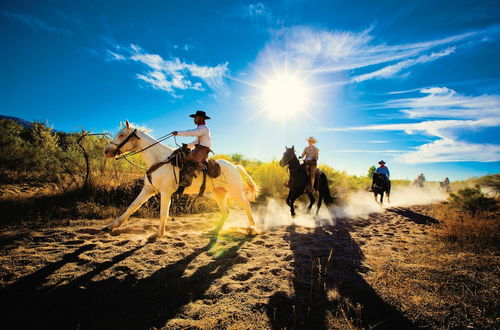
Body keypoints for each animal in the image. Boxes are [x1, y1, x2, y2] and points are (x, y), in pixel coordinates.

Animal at [101, 120, 258, 237]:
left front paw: (158, 234)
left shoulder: (165, 192)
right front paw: (111, 226)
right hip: (219, 193)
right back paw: (215, 231)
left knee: (246, 205)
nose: (107, 151)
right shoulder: (148, 189)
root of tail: (235, 166)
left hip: (235, 191)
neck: (159, 160)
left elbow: (163, 213)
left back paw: (252, 229)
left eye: (121, 135)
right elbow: (132, 206)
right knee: (226, 212)